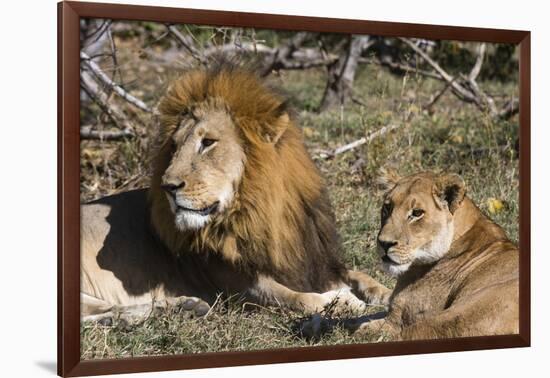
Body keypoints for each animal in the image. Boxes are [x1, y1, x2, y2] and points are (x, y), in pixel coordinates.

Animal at [82, 65, 392, 322]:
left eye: (208, 142)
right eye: (175, 145)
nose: (168, 186)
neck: (263, 212)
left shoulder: (313, 262)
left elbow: (362, 276)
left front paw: (389, 293)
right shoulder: (240, 287)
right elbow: (300, 298)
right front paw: (343, 301)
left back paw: (185, 307)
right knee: (101, 313)